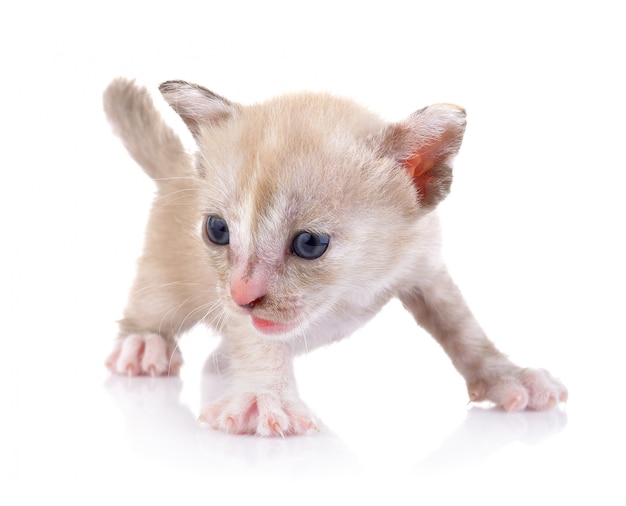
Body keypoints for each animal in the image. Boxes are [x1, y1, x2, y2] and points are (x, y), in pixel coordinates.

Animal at [102, 77, 564, 436]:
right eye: (217, 230)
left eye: (310, 244)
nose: (242, 295)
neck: (352, 289)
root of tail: (180, 171)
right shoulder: (241, 311)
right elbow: (256, 340)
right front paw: (263, 396)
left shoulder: (425, 268)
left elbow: (463, 328)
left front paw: (506, 376)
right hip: (165, 279)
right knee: (151, 309)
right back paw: (144, 344)